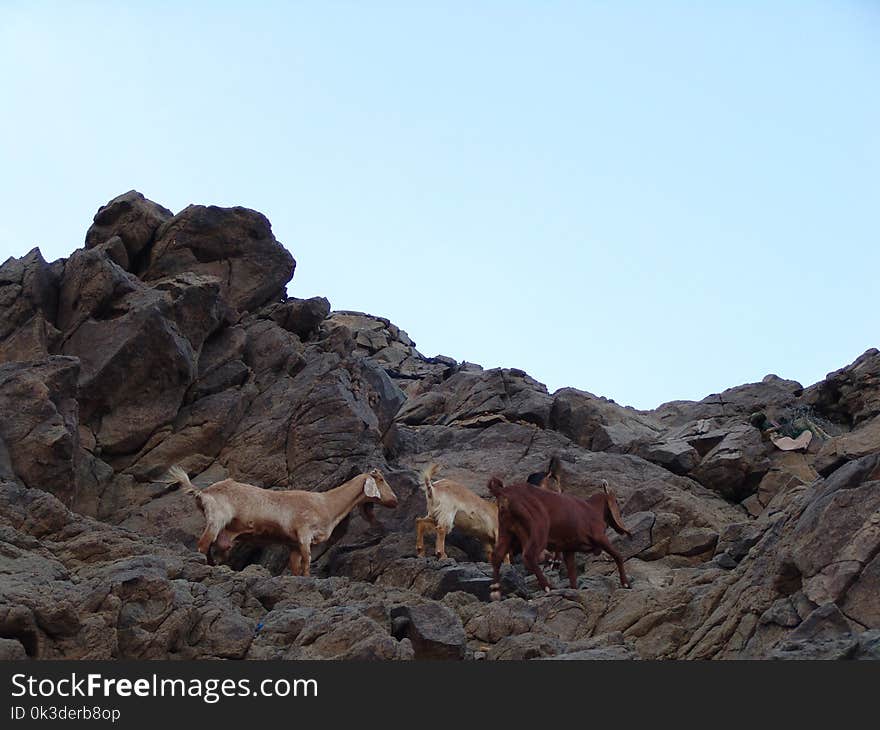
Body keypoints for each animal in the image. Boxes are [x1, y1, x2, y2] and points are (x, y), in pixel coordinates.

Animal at [168, 466, 398, 576]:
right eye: (381, 480)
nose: (395, 500)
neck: (326, 503)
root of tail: (203, 492)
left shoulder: (293, 544)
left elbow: (295, 567)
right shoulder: (304, 534)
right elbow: (307, 563)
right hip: (216, 519)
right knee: (202, 545)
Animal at [488, 474, 632, 600]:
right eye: (616, 501)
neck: (592, 509)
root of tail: (503, 492)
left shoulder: (569, 550)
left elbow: (572, 573)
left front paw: (574, 590)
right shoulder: (600, 537)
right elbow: (618, 556)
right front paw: (625, 583)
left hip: (507, 532)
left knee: (497, 555)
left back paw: (495, 590)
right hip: (539, 530)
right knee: (528, 556)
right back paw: (548, 586)